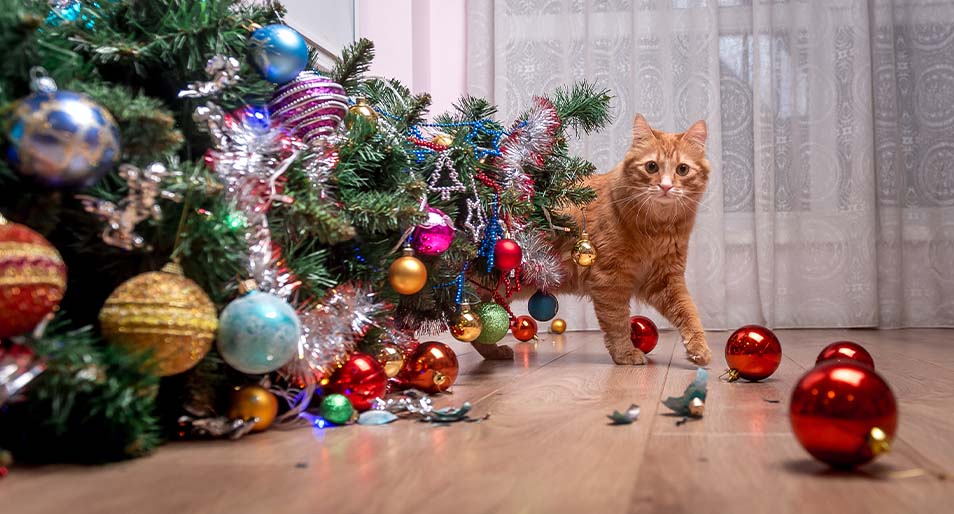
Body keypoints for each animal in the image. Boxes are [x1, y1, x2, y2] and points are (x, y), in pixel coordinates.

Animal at [472, 114, 712, 366]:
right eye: (651, 167)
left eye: (682, 169)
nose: (666, 186)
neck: (657, 230)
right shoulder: (609, 279)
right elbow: (617, 323)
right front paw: (625, 353)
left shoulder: (666, 278)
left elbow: (689, 312)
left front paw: (699, 349)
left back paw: (495, 352)